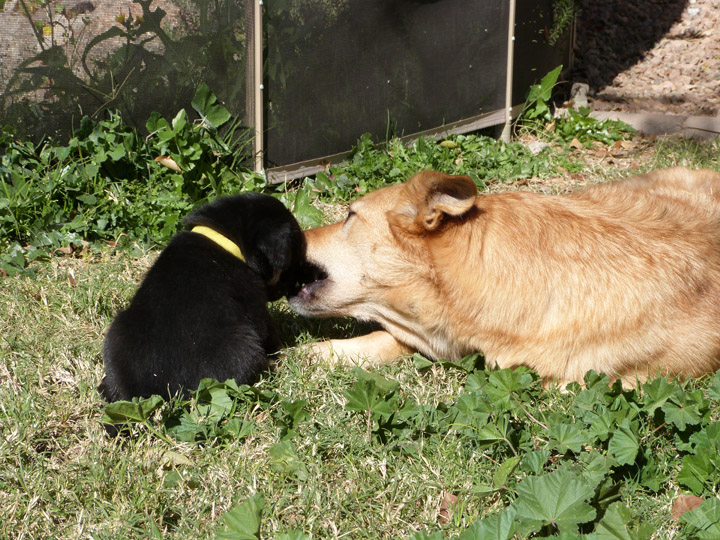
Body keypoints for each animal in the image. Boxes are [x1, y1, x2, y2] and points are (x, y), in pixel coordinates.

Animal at [98, 194, 306, 400]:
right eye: (294, 256)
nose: (295, 287)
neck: (225, 240)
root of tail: (159, 392)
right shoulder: (255, 305)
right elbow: (271, 335)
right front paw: (285, 353)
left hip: (116, 330)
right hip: (243, 348)